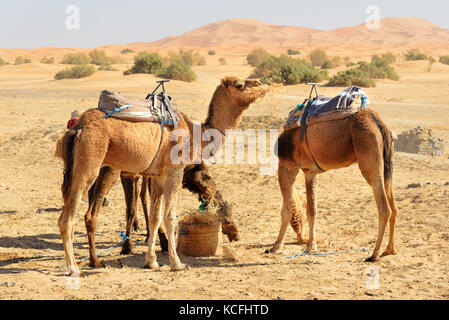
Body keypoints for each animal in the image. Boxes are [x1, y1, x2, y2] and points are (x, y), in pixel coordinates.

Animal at [56, 75, 266, 276]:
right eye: (239, 84)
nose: (260, 82)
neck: (195, 134)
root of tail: (77, 128)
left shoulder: (157, 175)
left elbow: (155, 217)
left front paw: (151, 262)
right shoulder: (175, 171)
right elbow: (169, 217)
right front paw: (177, 264)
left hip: (74, 170)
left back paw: (90, 262)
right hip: (90, 164)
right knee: (70, 218)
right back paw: (74, 267)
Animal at [268, 105, 398, 262]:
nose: (300, 237)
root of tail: (377, 121)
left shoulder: (287, 165)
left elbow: (286, 209)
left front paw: (276, 247)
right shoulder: (310, 172)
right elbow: (312, 210)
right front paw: (311, 247)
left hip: (369, 157)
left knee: (385, 208)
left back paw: (374, 254)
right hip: (387, 164)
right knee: (394, 207)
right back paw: (389, 250)